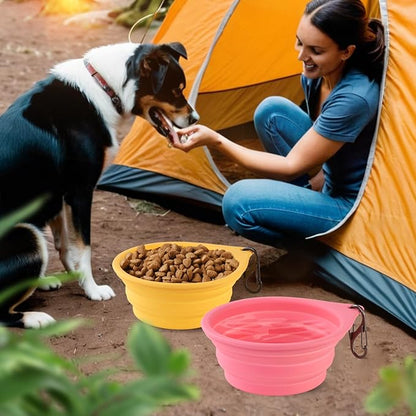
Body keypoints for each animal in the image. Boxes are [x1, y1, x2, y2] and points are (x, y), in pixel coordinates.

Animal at [0, 42, 199, 328]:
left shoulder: (60, 195)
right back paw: (34, 317)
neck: (105, 88)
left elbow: (66, 246)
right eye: (176, 90)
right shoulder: (81, 191)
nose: (195, 119)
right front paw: (92, 290)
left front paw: (76, 279)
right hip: (27, 234)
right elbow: (84, 248)